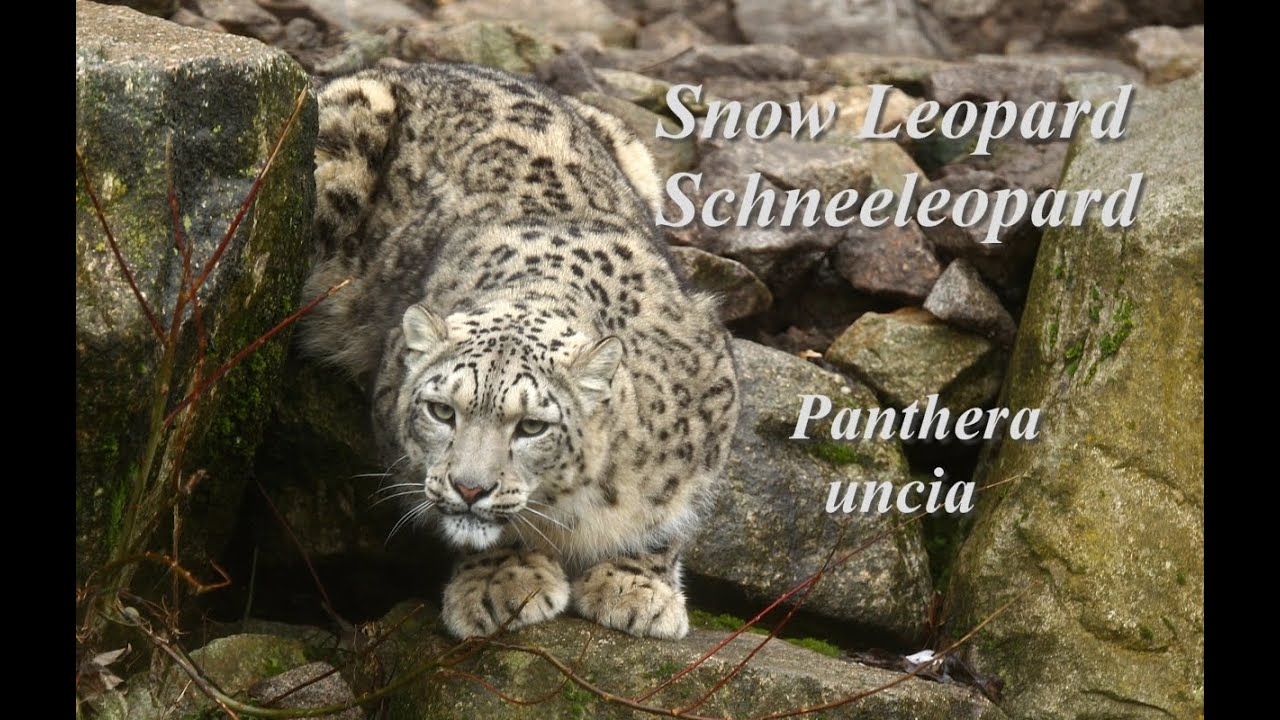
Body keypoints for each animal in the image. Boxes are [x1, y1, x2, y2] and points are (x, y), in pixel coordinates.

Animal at [298, 62, 739, 640]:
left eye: (531, 426)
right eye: (442, 411)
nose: (469, 489)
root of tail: (413, 64)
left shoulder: (712, 392)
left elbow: (669, 514)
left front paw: (635, 587)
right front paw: (501, 581)